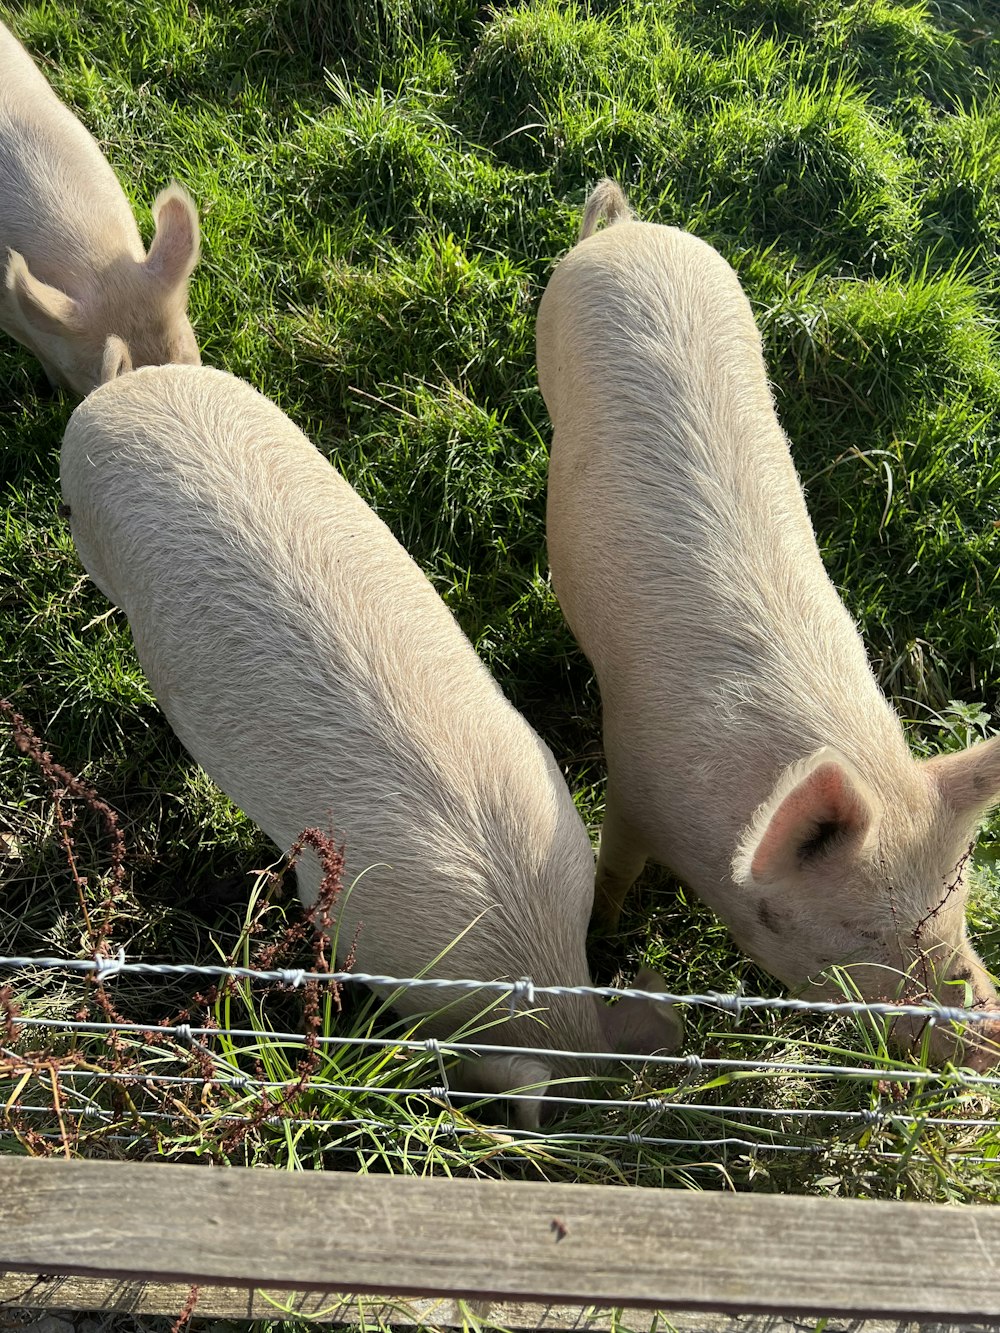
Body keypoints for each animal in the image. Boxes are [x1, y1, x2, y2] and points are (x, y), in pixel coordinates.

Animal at [541, 177, 1000, 1071]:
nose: (988, 1032)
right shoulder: (632, 776)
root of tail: (631, 231)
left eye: (958, 901)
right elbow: (614, 870)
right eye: (855, 937)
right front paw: (604, 934)